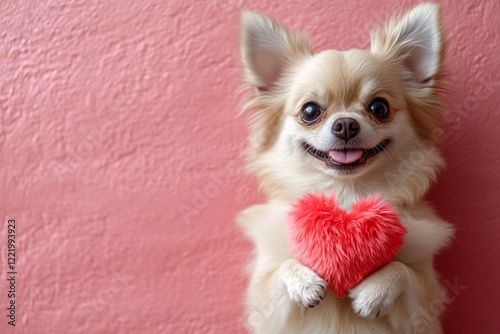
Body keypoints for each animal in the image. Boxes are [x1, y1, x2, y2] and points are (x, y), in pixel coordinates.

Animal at [236, 2, 456, 334]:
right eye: (310, 111)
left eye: (379, 107)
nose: (345, 124)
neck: (345, 199)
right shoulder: (265, 304)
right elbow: (282, 267)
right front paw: (304, 282)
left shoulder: (424, 308)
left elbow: (403, 269)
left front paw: (375, 291)